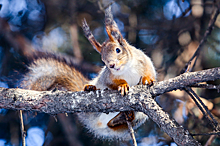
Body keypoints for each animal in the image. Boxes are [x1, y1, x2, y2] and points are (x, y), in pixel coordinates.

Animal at [19, 5, 156, 140]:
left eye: (118, 50)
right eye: (103, 59)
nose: (111, 65)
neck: (126, 68)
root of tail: (96, 123)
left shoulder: (144, 61)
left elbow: (150, 72)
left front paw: (148, 79)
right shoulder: (107, 76)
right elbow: (111, 83)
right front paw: (122, 85)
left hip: (139, 116)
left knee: (118, 123)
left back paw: (125, 115)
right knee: (109, 123)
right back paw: (91, 89)